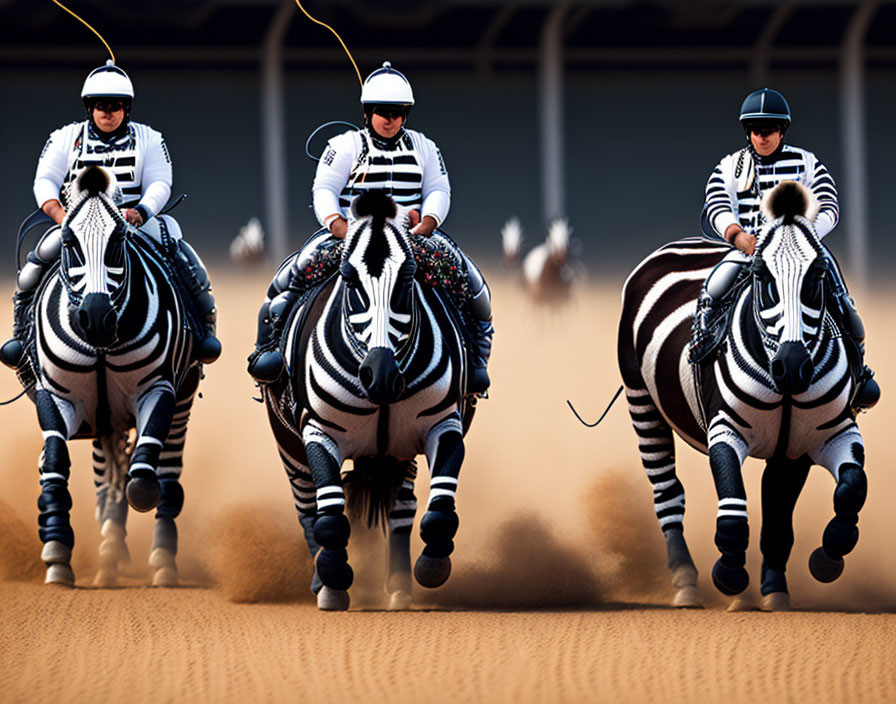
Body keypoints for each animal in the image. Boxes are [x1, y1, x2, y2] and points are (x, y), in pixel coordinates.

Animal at [21, 166, 204, 588]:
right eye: (68, 240)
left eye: (119, 238)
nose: (96, 318)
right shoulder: (57, 396)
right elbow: (55, 460)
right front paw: (56, 551)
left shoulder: (158, 388)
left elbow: (144, 474)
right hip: (103, 417)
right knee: (106, 474)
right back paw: (108, 555)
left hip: (183, 397)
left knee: (166, 469)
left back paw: (160, 560)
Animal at [260, 188, 476, 612]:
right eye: (348, 278)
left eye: (409, 277)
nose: (382, 376)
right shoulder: (318, 432)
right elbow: (329, 517)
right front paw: (334, 582)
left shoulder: (443, 423)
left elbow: (440, 507)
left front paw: (431, 567)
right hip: (288, 445)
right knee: (307, 508)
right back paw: (322, 580)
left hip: (398, 452)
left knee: (402, 508)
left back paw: (399, 588)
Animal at [620, 182, 864, 612]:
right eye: (762, 275)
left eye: (818, 274)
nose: (792, 366)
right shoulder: (726, 430)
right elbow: (733, 509)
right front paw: (730, 577)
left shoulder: (815, 441)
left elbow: (838, 494)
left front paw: (814, 567)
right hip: (642, 403)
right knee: (668, 494)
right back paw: (686, 582)